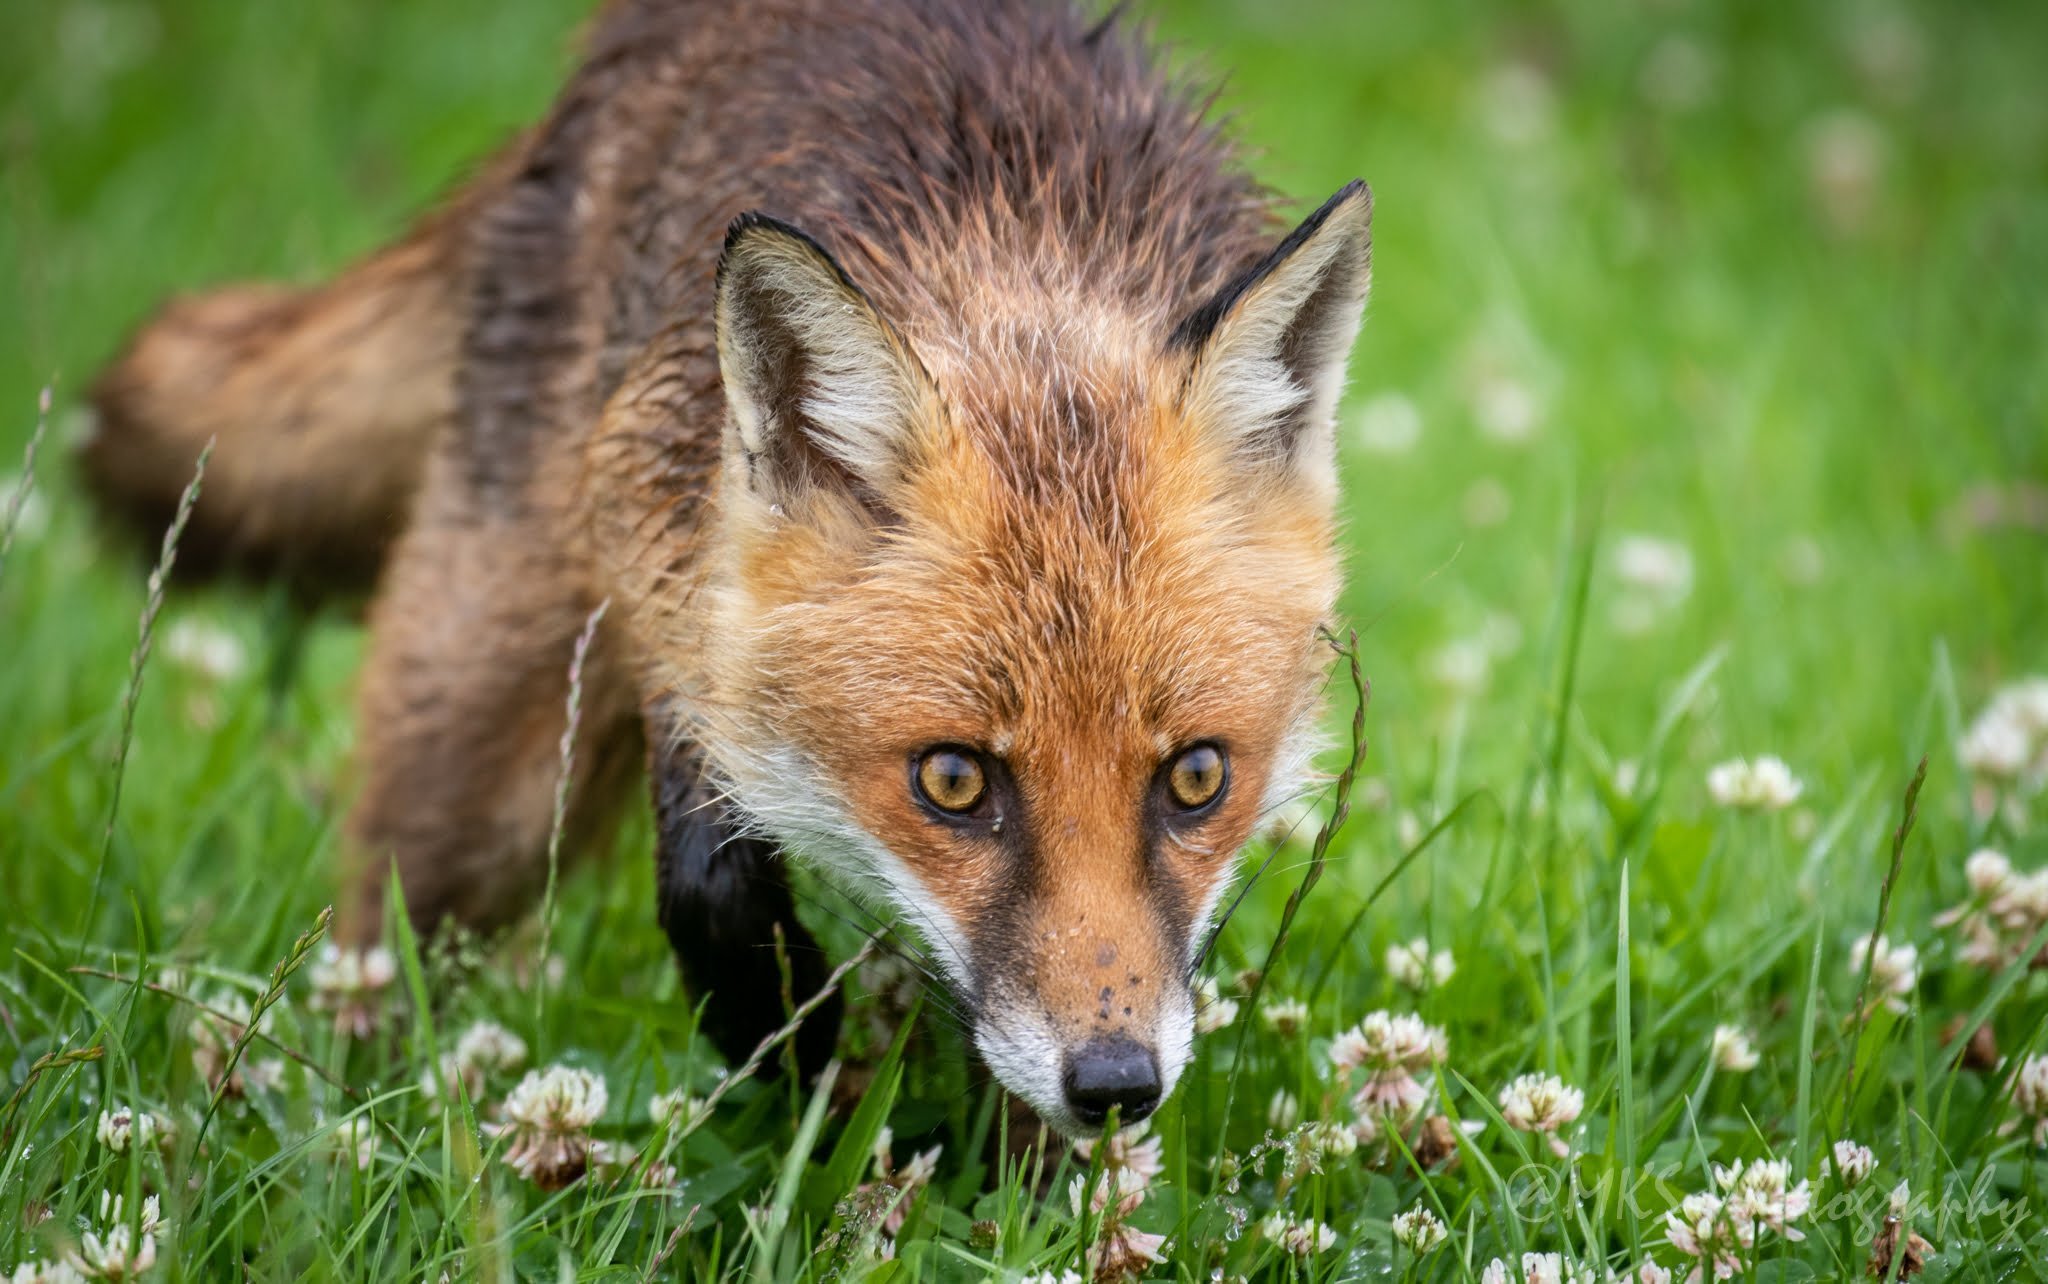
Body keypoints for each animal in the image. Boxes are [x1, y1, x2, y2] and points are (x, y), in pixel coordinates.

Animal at [82, 0, 1370, 1136]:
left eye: (1196, 777)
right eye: (952, 782)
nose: (1112, 1086)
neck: (1009, 247)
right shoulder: (670, 554)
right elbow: (707, 873)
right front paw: (791, 1049)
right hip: (487, 768)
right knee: (379, 937)